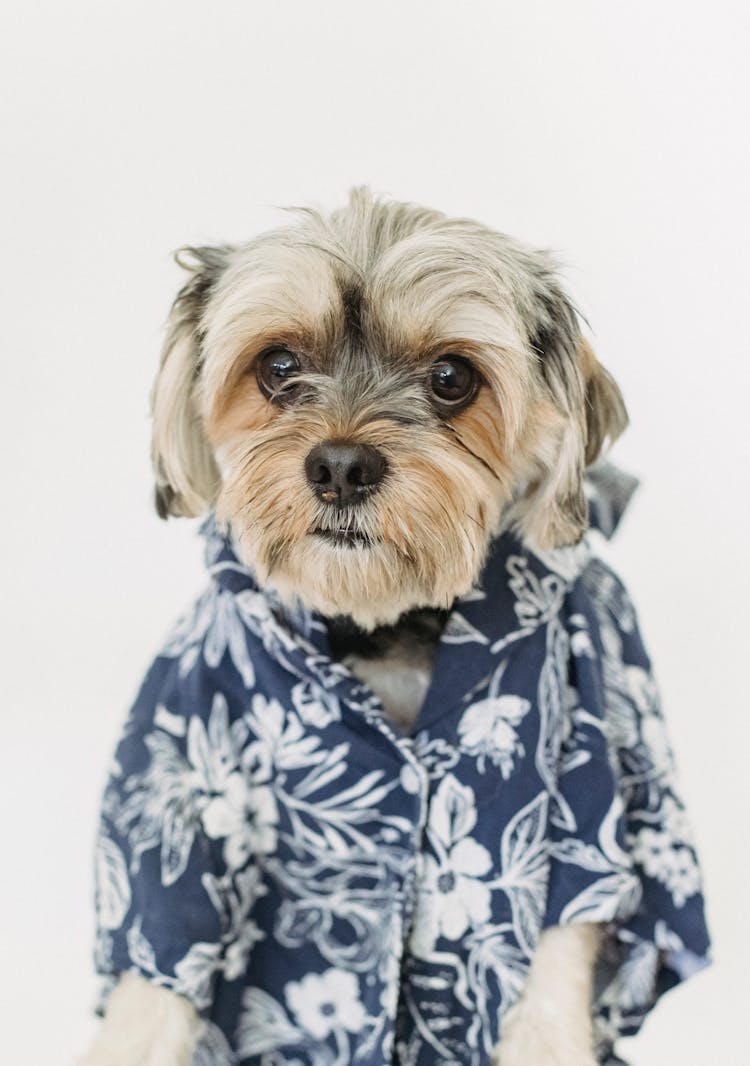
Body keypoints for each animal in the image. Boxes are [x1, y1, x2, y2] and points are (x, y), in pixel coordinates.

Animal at [80, 187, 707, 1061]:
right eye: (277, 367)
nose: (341, 467)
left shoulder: (571, 846)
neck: (384, 628)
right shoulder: (176, 831)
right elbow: (153, 990)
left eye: (451, 378)